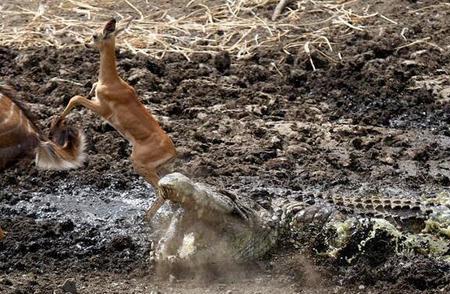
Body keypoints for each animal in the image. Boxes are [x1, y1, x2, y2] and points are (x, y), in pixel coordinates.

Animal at [58, 18, 179, 220]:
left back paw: (146, 218)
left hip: (140, 164)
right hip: (160, 169)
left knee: (160, 192)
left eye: (95, 35)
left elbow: (75, 97)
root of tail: (172, 151)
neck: (110, 82)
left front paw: (55, 122)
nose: (85, 43)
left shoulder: (102, 109)